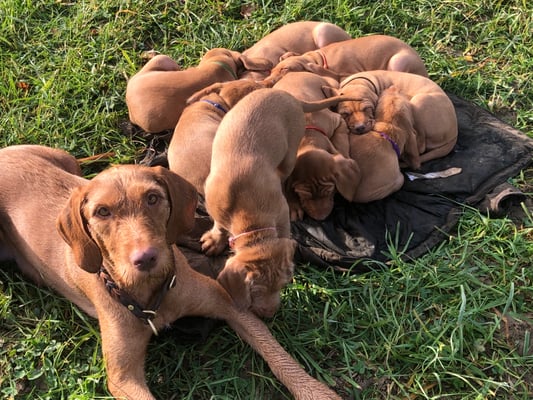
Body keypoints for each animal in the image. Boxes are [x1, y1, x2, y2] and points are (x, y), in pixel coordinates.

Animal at [0, 145, 342, 400]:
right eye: (102, 212)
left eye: (153, 198)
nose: (146, 258)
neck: (152, 294)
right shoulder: (123, 377)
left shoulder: (229, 305)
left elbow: (279, 356)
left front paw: (318, 392)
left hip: (66, 160)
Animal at [200, 89, 360, 318]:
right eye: (254, 291)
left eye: (283, 285)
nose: (271, 314)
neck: (250, 221)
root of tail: (289, 97)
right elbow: (219, 225)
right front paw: (215, 239)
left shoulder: (281, 213)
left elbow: (284, 232)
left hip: (290, 151)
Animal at [261, 34, 428, 86]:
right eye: (271, 70)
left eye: (285, 70)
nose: (265, 83)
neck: (320, 58)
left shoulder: (349, 71)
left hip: (398, 61)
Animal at [328, 70, 458, 163]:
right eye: (345, 114)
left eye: (367, 109)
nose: (360, 128)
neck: (358, 82)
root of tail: (454, 134)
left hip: (419, 101)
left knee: (420, 144)